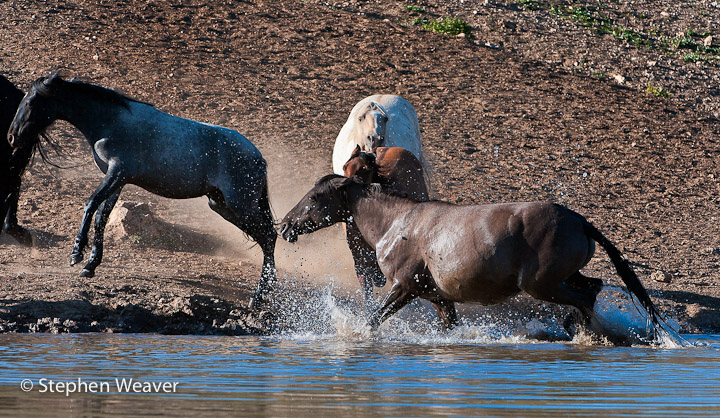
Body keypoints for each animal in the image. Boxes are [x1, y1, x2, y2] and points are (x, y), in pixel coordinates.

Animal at [8, 72, 278, 306]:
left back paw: (260, 296)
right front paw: (90, 265)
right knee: (267, 238)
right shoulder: (117, 181)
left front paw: (76, 255)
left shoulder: (117, 173)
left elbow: (90, 205)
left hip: (239, 205)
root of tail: (259, 158)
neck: (110, 122)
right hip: (221, 205)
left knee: (269, 237)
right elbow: (101, 217)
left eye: (30, 102)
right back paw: (266, 293)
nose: (12, 137)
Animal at [278, 175, 668, 344]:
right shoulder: (438, 299)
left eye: (314, 197)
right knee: (593, 288)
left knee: (585, 298)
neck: (397, 223)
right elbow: (449, 327)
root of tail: (580, 221)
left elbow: (373, 319)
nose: (284, 226)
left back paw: (587, 334)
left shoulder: (403, 287)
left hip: (541, 285)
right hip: (563, 278)